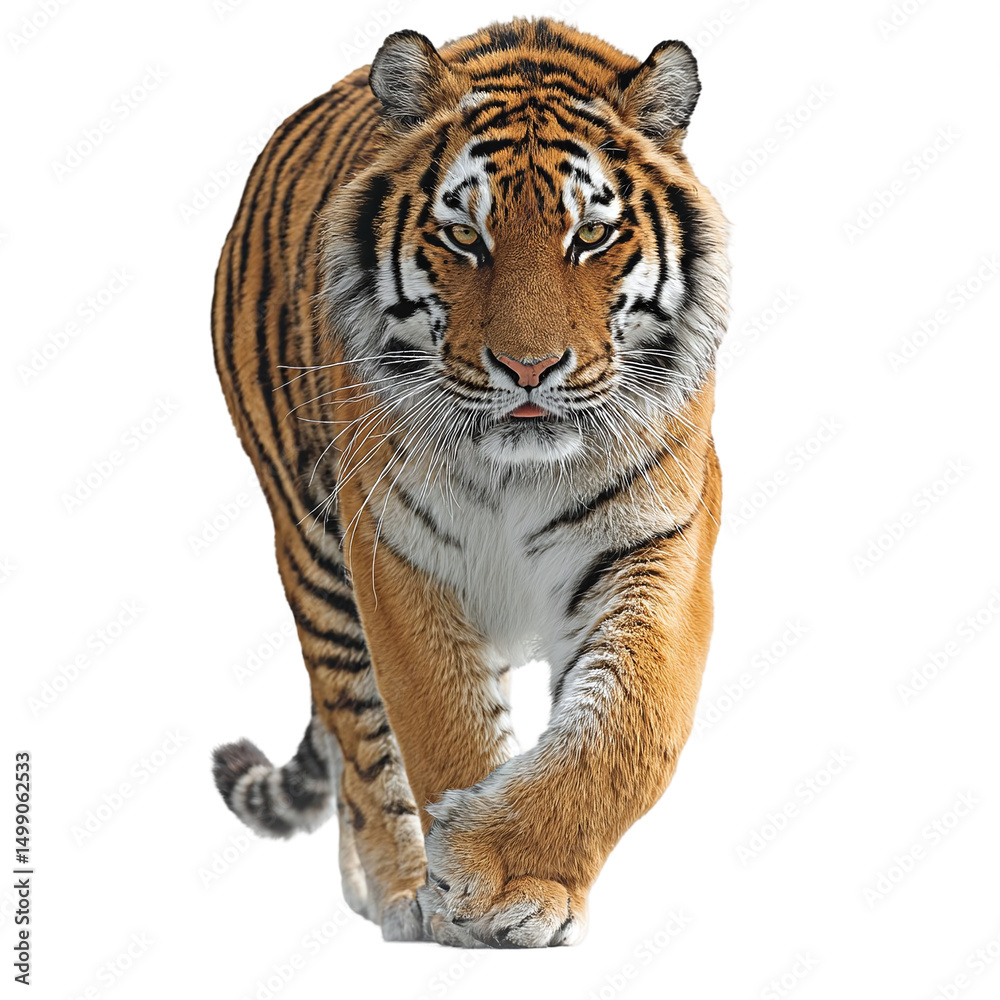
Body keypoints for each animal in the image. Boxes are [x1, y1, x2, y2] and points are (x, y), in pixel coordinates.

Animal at [210, 17, 728, 948]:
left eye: (590, 237)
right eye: (463, 237)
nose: (528, 368)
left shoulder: (658, 541)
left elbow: (627, 730)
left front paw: (517, 883)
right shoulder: (394, 552)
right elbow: (441, 720)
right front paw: (467, 894)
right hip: (313, 549)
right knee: (359, 745)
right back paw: (395, 892)